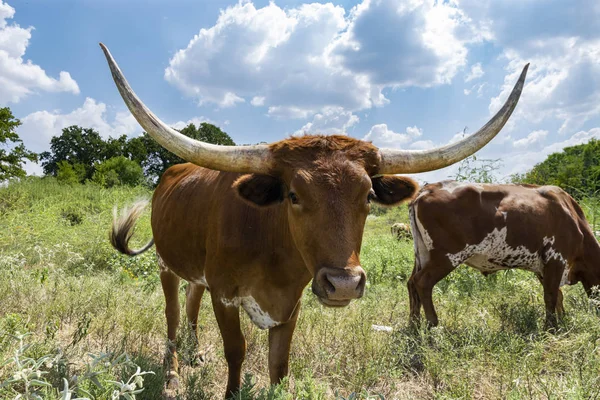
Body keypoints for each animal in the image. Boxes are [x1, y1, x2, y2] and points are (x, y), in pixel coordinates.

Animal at [408, 181, 600, 328]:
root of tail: (428, 188)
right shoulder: (556, 259)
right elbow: (551, 296)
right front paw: (551, 327)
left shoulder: (543, 266)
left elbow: (558, 296)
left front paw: (563, 320)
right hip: (447, 256)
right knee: (422, 282)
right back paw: (432, 324)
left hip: (423, 255)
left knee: (411, 284)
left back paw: (414, 327)